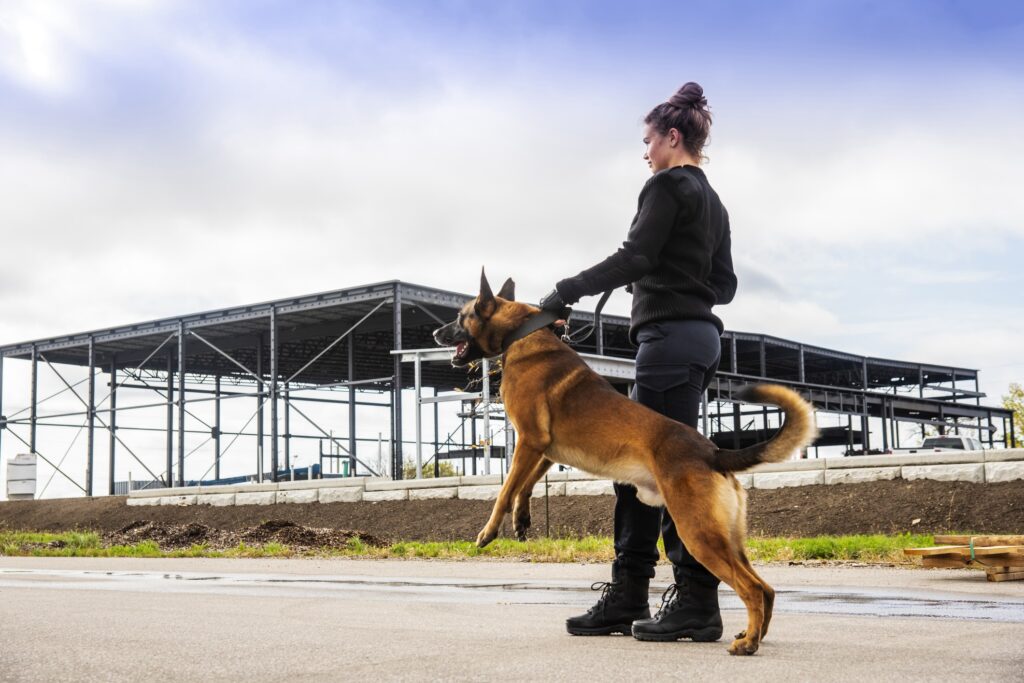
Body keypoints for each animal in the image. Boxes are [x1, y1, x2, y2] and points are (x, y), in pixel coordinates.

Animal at [432, 270, 815, 655]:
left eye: (461, 316)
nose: (435, 334)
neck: (524, 333)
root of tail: (713, 452)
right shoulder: (544, 450)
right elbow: (523, 486)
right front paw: (521, 519)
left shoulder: (529, 440)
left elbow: (504, 489)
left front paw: (488, 532)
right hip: (727, 538)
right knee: (765, 588)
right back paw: (753, 635)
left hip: (699, 533)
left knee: (750, 588)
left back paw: (746, 642)